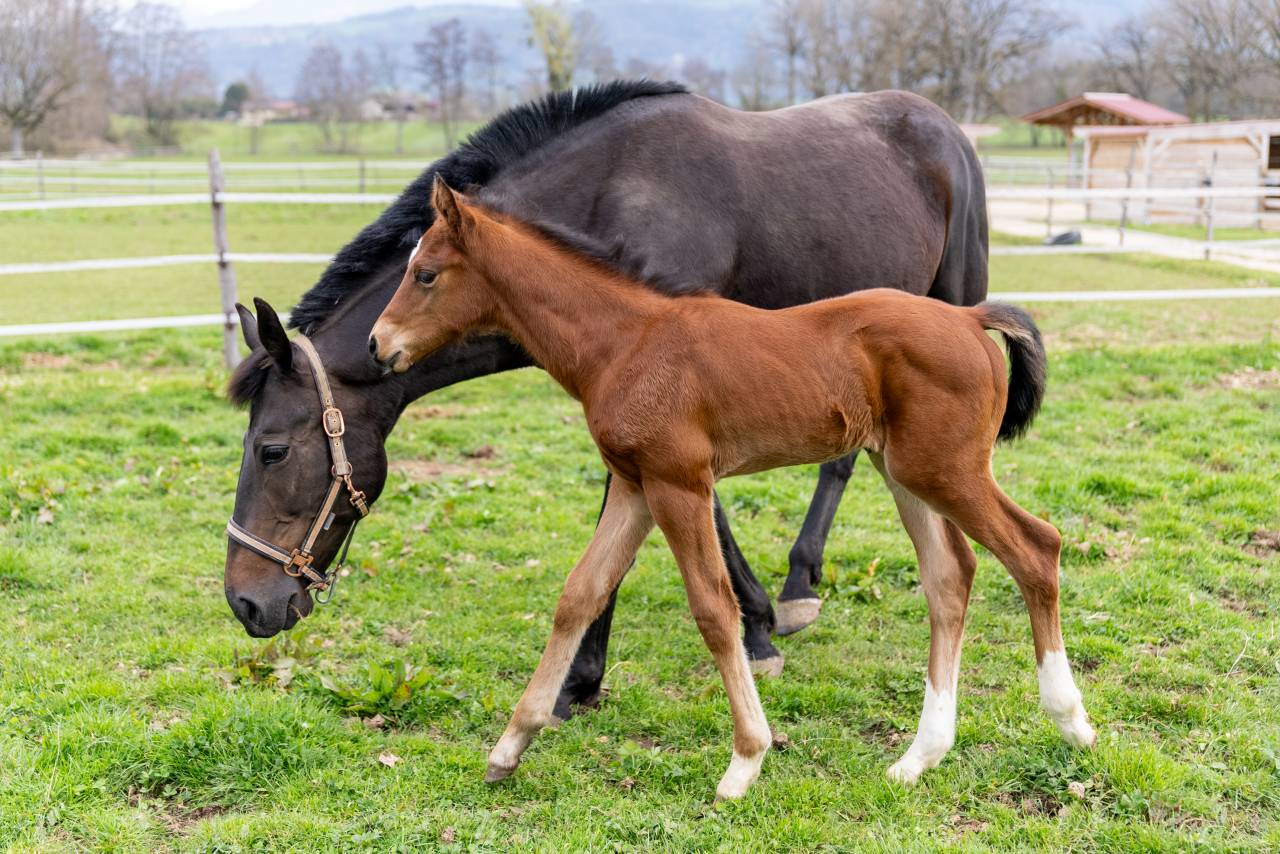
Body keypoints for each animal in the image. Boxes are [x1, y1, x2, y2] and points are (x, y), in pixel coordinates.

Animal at [223, 81, 989, 719]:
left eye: (271, 450)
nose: (246, 602)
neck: (610, 199)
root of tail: (940, 123)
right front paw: (754, 624)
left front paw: (581, 678)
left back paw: (808, 586)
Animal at [367, 178, 1095, 799]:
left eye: (425, 273)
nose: (378, 345)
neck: (625, 341)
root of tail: (971, 318)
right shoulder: (635, 487)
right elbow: (579, 596)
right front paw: (509, 747)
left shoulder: (679, 484)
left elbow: (714, 609)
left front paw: (746, 759)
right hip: (905, 472)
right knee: (950, 578)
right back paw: (919, 757)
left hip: (948, 471)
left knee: (1036, 548)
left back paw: (1071, 722)